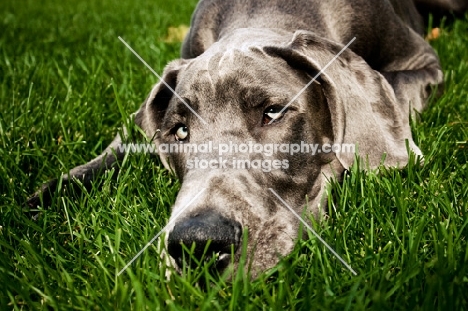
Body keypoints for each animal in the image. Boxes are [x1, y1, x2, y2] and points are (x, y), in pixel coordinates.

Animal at [28, 0, 464, 278]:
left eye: (272, 112)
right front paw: (55, 190)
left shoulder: (421, 63)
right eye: (180, 131)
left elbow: (393, 95)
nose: (198, 243)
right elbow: (124, 138)